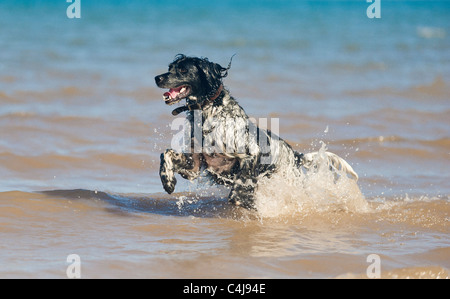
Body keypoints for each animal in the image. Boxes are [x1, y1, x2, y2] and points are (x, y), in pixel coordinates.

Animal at [155, 54, 358, 209]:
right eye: (170, 67)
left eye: (183, 70)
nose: (157, 78)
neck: (208, 114)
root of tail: (294, 154)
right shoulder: (194, 167)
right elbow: (166, 153)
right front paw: (168, 181)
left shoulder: (250, 153)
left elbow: (241, 184)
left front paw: (242, 199)